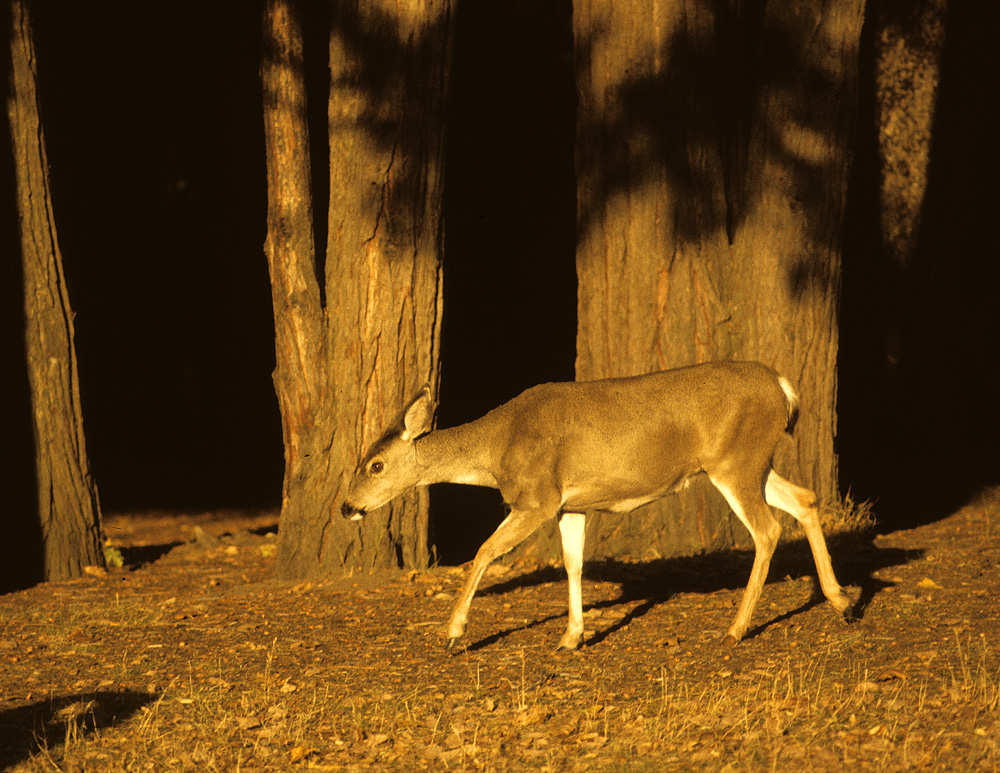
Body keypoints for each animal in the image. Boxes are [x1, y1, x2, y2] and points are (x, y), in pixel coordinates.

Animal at [340, 361, 853, 651]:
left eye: (376, 465)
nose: (347, 507)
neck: (497, 448)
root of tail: (783, 386)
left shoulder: (537, 497)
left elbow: (485, 551)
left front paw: (453, 633)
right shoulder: (572, 505)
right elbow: (573, 563)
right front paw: (572, 637)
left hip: (735, 460)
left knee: (767, 530)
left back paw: (736, 629)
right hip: (752, 462)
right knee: (805, 500)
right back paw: (842, 601)